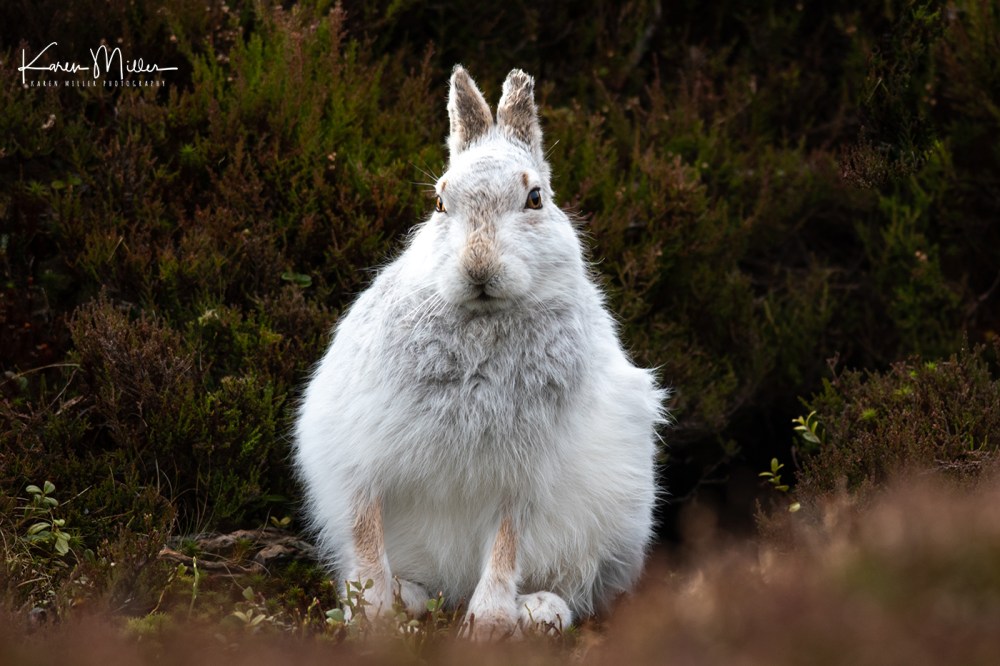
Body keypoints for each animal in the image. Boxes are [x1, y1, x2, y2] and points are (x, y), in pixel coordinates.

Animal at [293, 65, 667, 639]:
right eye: (440, 203)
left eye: (535, 199)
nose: (478, 267)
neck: (483, 325)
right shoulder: (359, 454)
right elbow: (365, 532)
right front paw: (375, 617)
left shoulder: (524, 477)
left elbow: (507, 543)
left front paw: (487, 625)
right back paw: (409, 597)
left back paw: (538, 612)